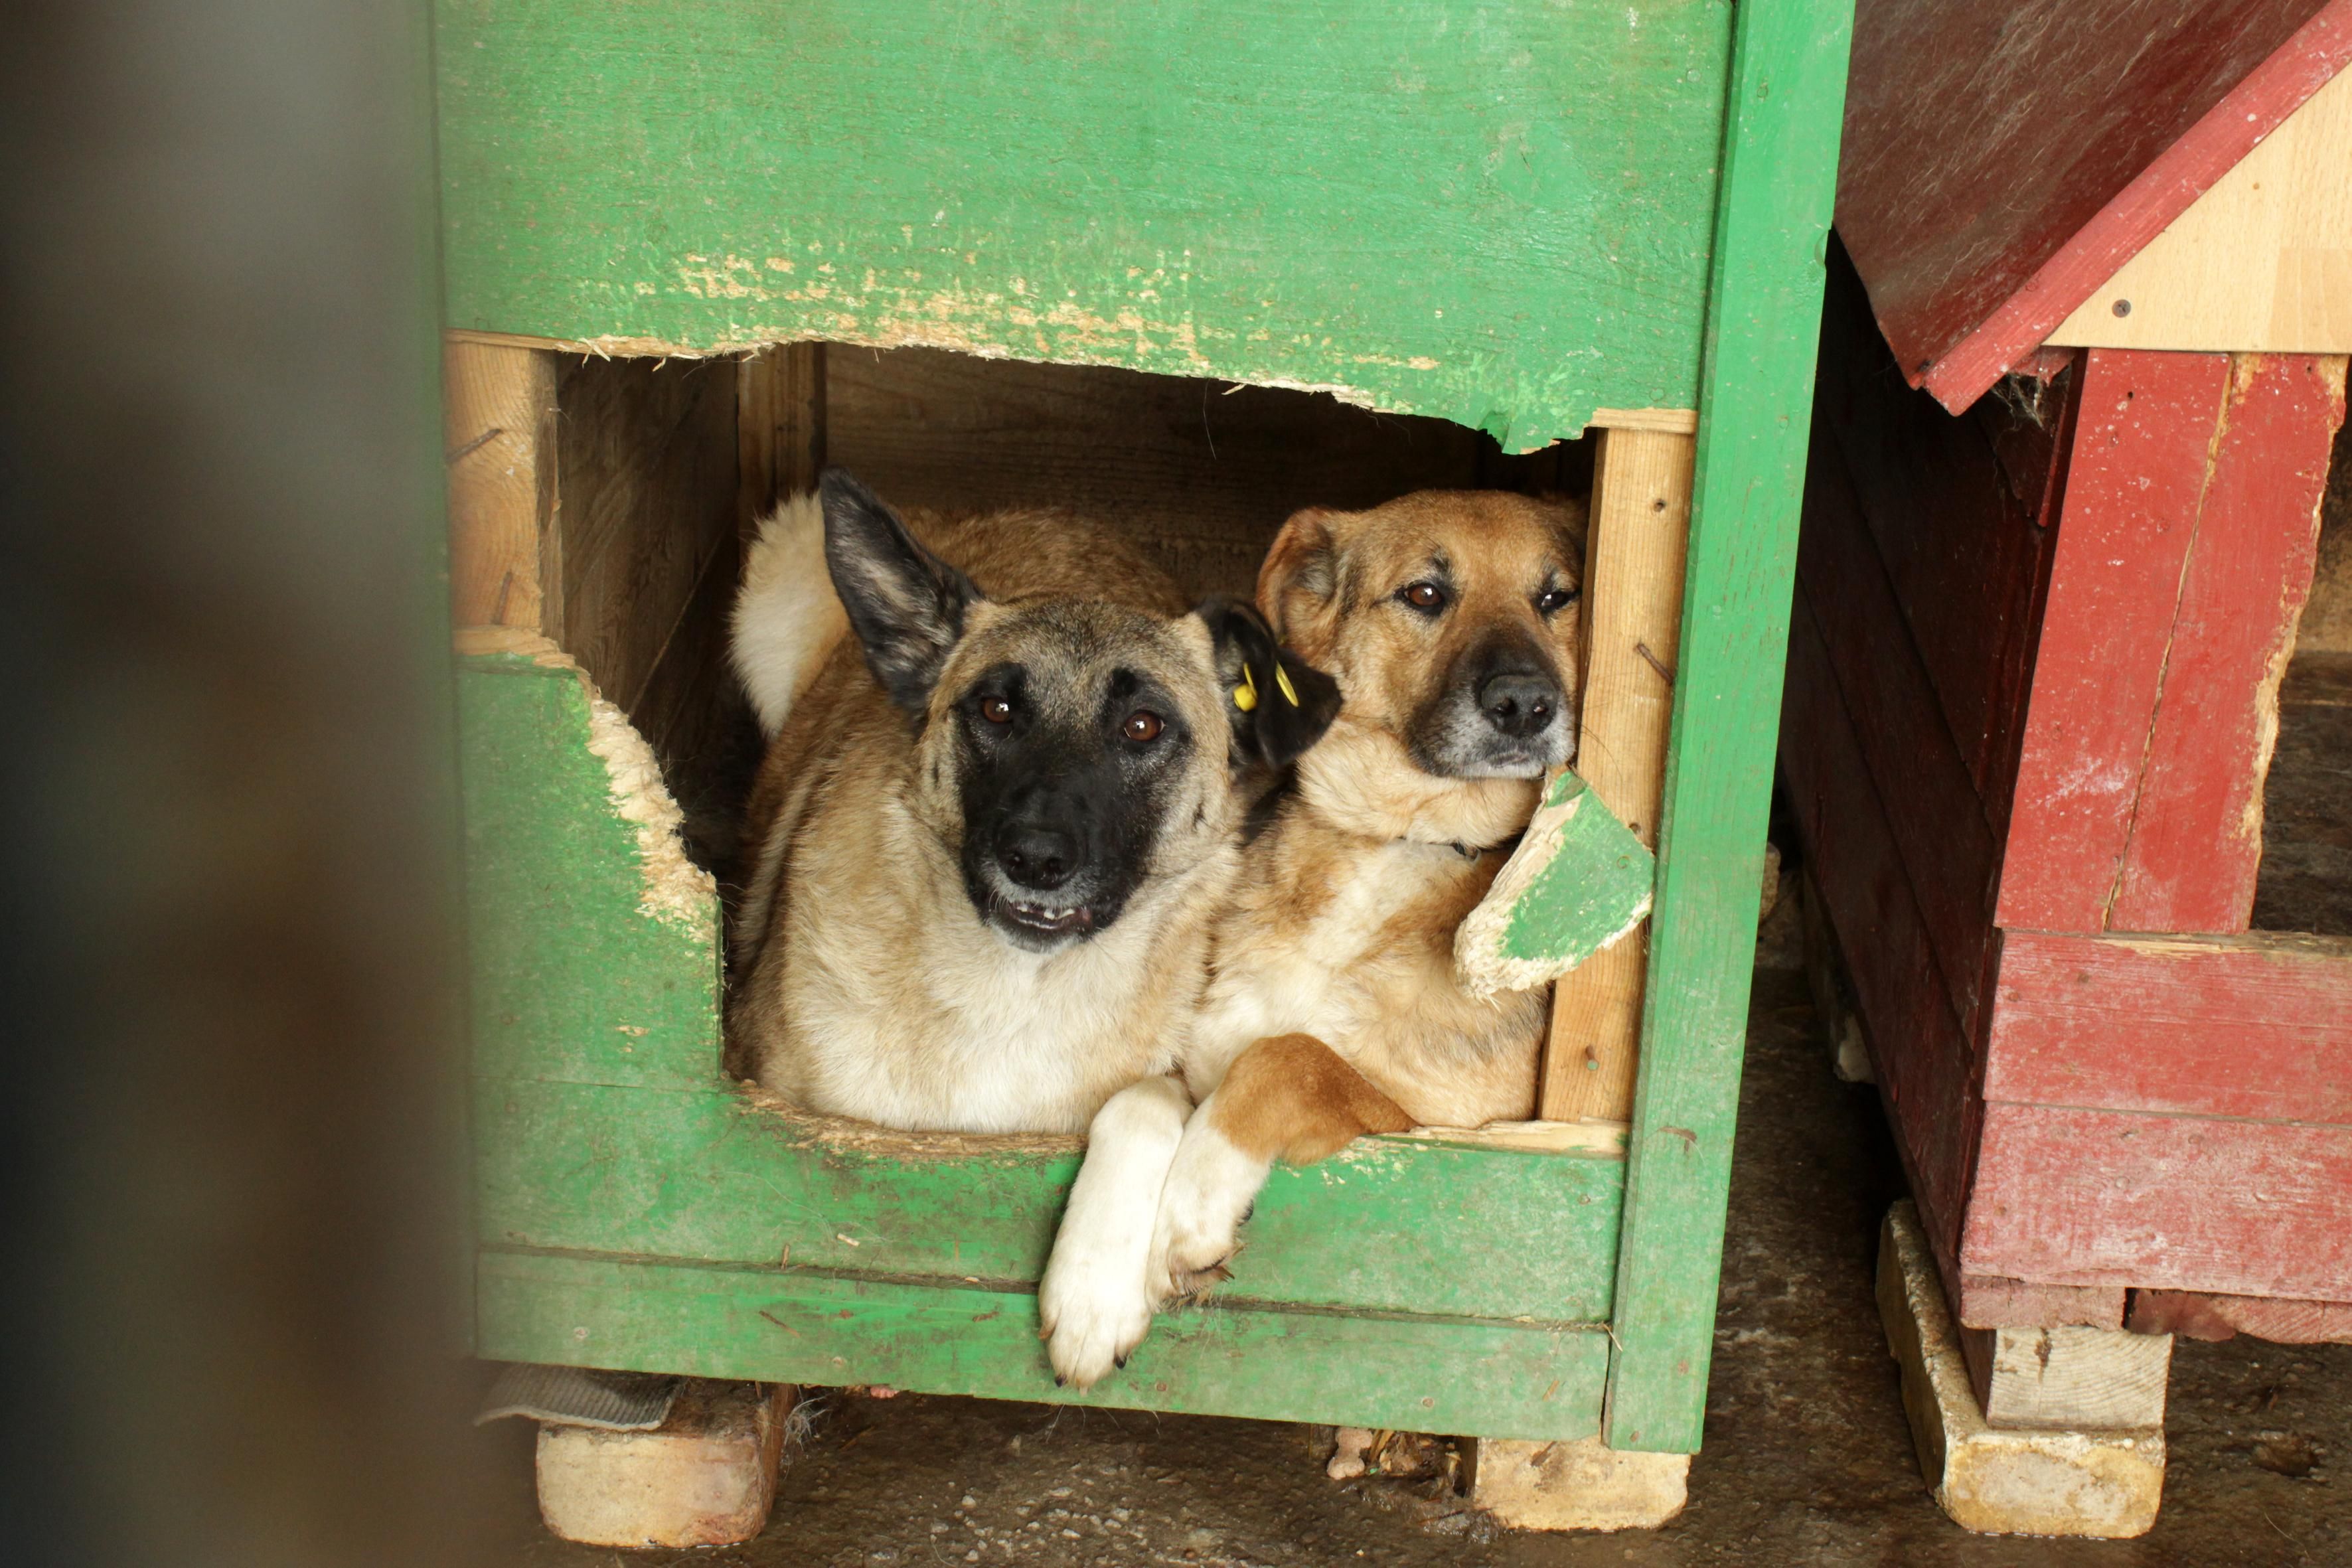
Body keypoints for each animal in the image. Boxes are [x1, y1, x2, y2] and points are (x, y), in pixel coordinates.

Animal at [1044, 487, 1580, 1382]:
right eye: (1425, 594)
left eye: (1557, 597)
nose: (1526, 706)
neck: (1394, 843)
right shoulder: (1197, 1059)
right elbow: (1137, 1097)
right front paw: (1091, 1292)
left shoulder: (1450, 1132)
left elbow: (1292, 1057)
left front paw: (1191, 1204)